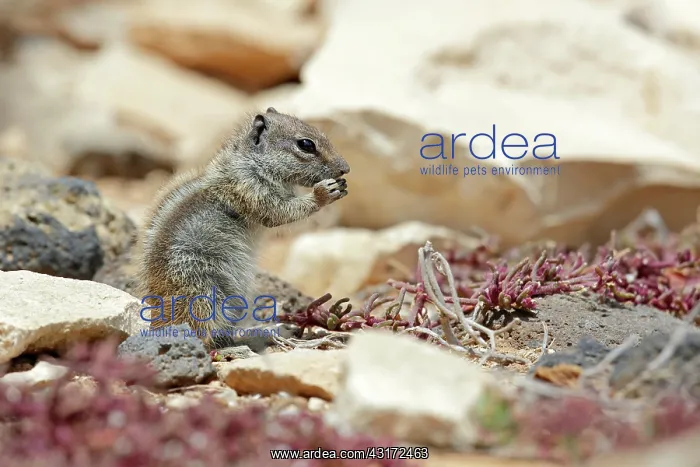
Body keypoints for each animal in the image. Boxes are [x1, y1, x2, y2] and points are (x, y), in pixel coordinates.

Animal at [135, 107, 349, 348]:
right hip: (201, 289)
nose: (345, 169)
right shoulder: (250, 188)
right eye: (306, 145)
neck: (251, 161)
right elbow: (278, 213)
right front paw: (323, 193)